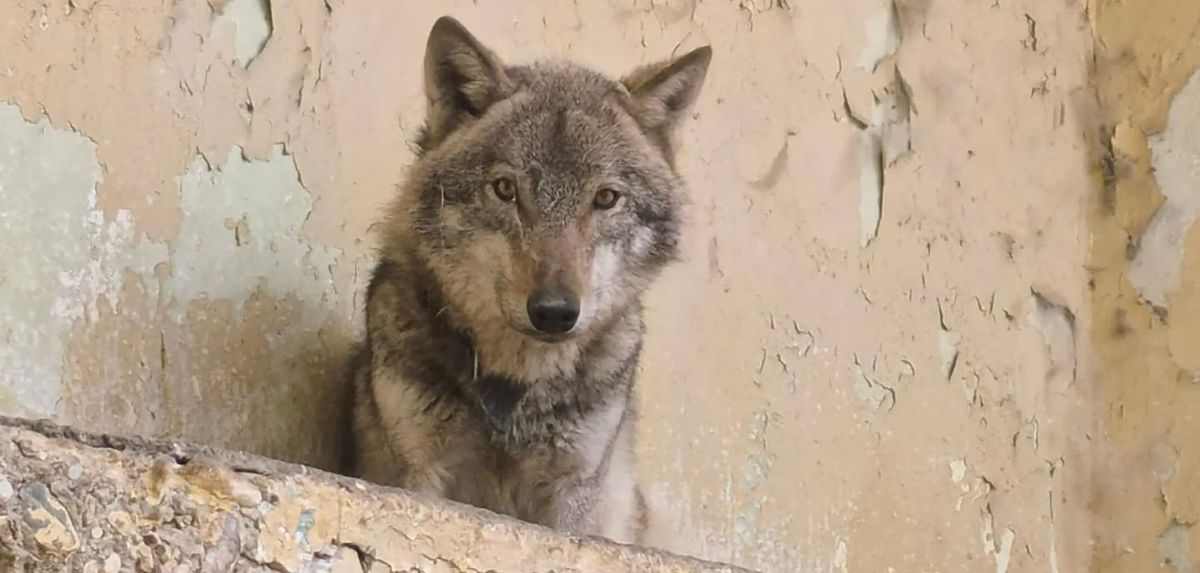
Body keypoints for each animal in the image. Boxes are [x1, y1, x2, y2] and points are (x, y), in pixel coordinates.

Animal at [348, 15, 711, 545]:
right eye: (505, 190)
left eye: (605, 198)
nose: (554, 313)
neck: (515, 392)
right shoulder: (417, 472)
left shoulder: (574, 491)